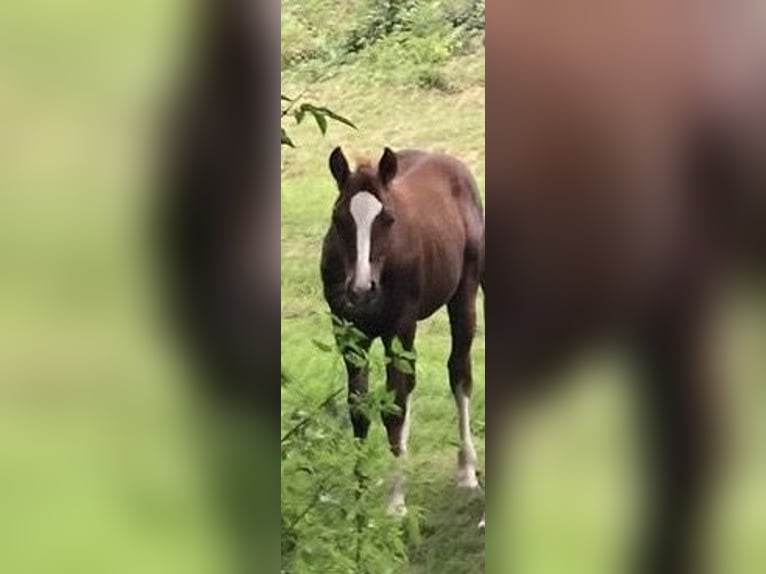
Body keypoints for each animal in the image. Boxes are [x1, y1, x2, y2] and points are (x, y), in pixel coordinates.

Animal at [322, 146, 488, 516]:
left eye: (388, 218)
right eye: (339, 218)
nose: (361, 290)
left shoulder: (399, 327)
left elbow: (394, 407)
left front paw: (396, 503)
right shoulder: (348, 334)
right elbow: (360, 409)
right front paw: (359, 496)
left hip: (464, 294)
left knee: (459, 372)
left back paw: (467, 470)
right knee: (411, 384)